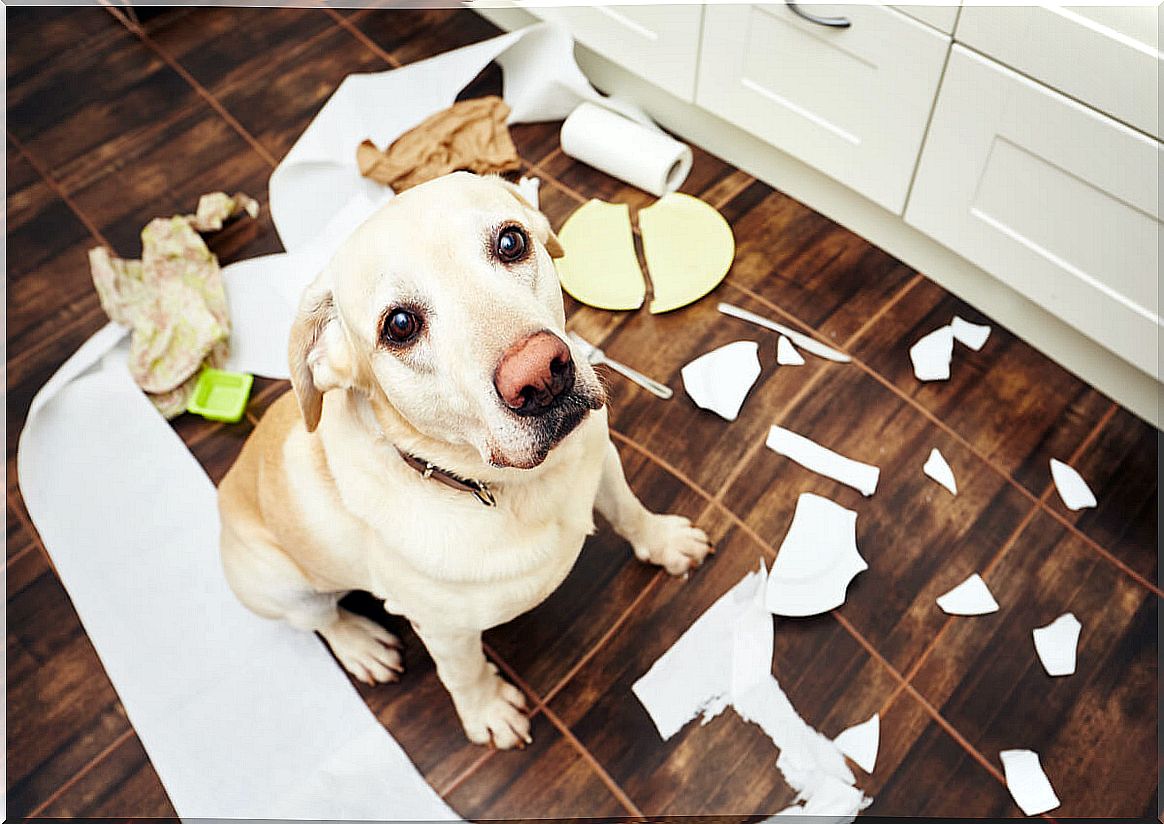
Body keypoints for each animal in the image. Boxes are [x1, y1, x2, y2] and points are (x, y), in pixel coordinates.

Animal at [217, 171, 707, 749]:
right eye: (399, 325)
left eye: (512, 242)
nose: (540, 376)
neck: (513, 486)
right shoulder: (446, 631)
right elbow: (464, 672)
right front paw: (487, 711)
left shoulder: (601, 461)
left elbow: (629, 511)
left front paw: (664, 541)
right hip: (282, 585)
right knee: (321, 621)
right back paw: (362, 644)